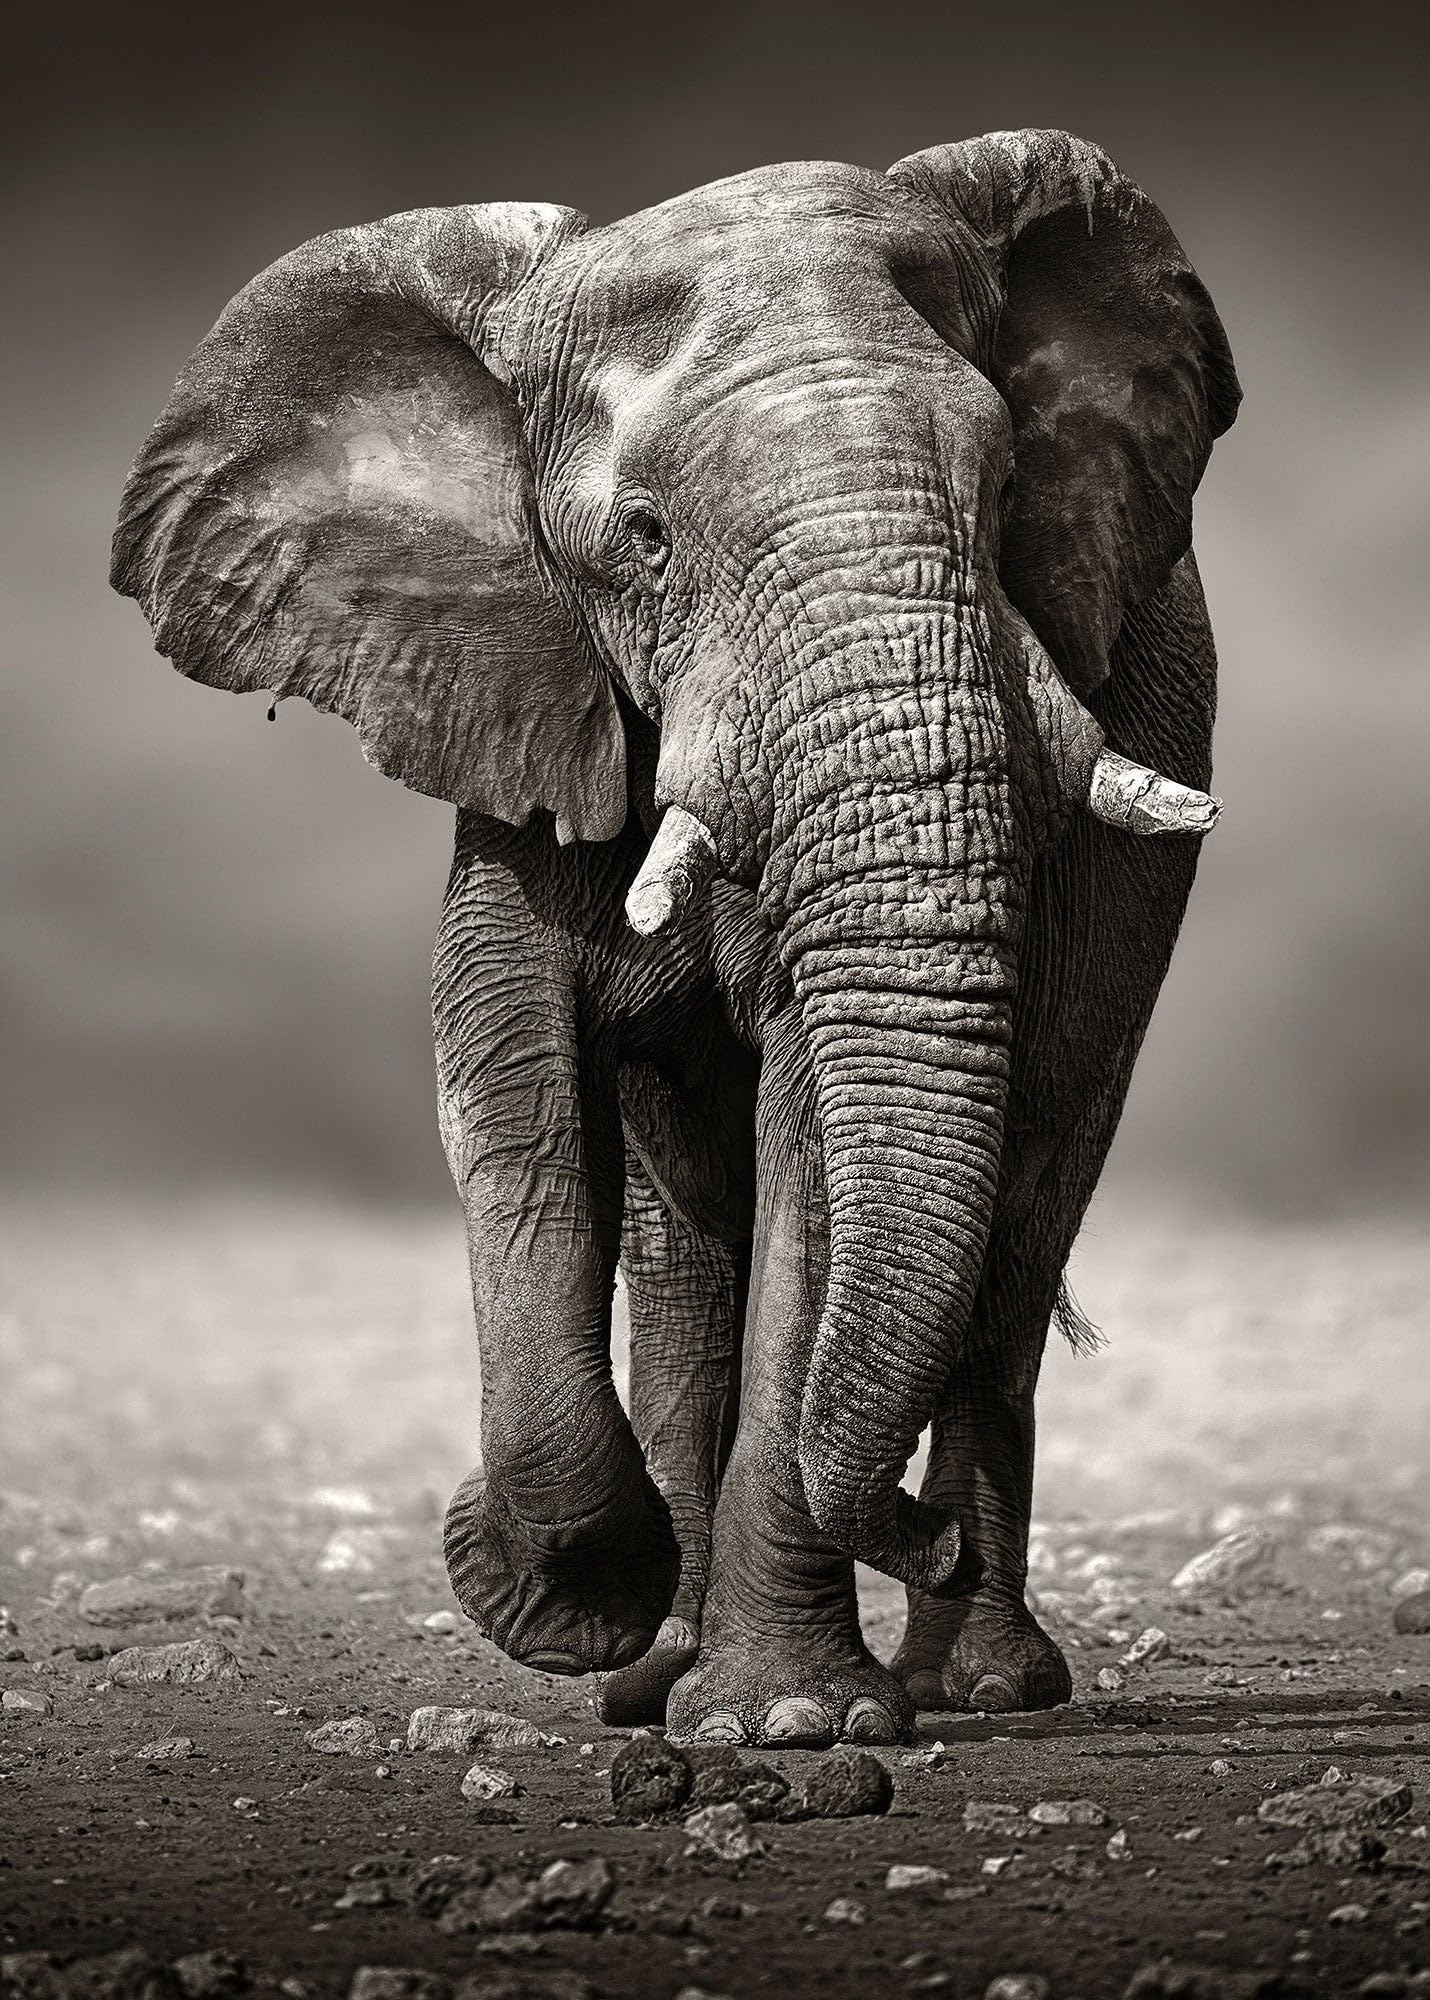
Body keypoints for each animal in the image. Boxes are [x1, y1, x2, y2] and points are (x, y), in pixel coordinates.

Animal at [112, 129, 1238, 1748]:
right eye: (641, 542)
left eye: (1007, 486)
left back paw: (970, 1683)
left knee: (1020, 1210)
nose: (912, 1535)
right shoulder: (520, 692)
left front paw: (790, 1725)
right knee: (685, 1256)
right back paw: (662, 1672)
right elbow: (510, 1090)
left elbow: (813, 1138)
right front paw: (569, 1602)